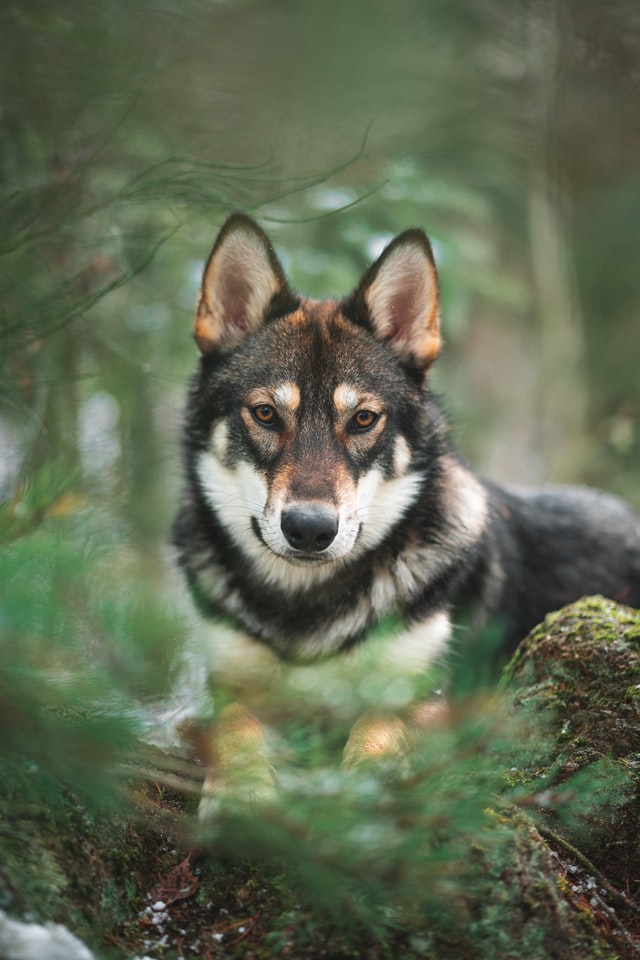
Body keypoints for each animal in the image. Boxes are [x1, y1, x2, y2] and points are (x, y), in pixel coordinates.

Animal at [173, 213, 640, 799]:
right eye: (264, 414)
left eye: (363, 420)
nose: (310, 530)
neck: (306, 611)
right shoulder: (230, 686)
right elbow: (236, 729)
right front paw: (243, 796)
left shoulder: (431, 698)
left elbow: (377, 732)